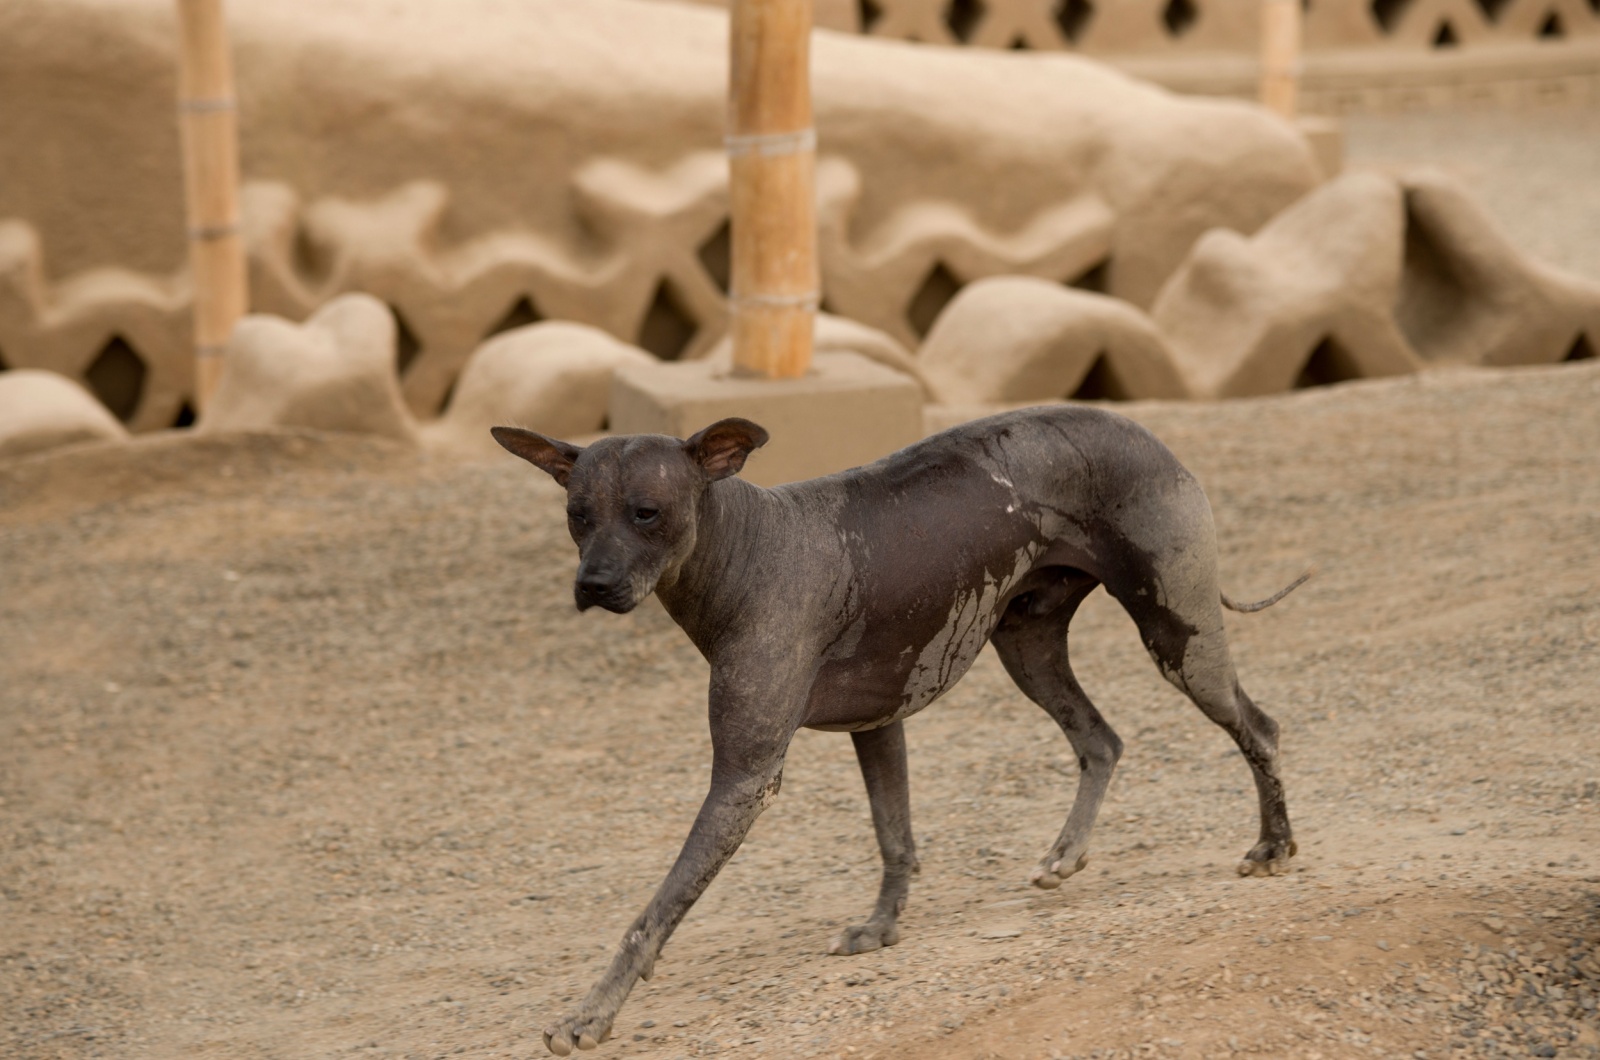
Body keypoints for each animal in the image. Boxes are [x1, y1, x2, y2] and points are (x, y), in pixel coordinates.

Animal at [492, 406, 1305, 1056]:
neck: (746, 552)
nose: (593, 586)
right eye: (578, 514)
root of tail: (1141, 430)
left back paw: (1273, 845)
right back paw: (1067, 853)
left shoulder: (745, 780)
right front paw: (882, 928)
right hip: (1028, 646)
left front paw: (592, 1013)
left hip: (1177, 635)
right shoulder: (876, 726)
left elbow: (653, 910)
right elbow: (895, 837)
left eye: (646, 512)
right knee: (1101, 739)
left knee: (1259, 726)